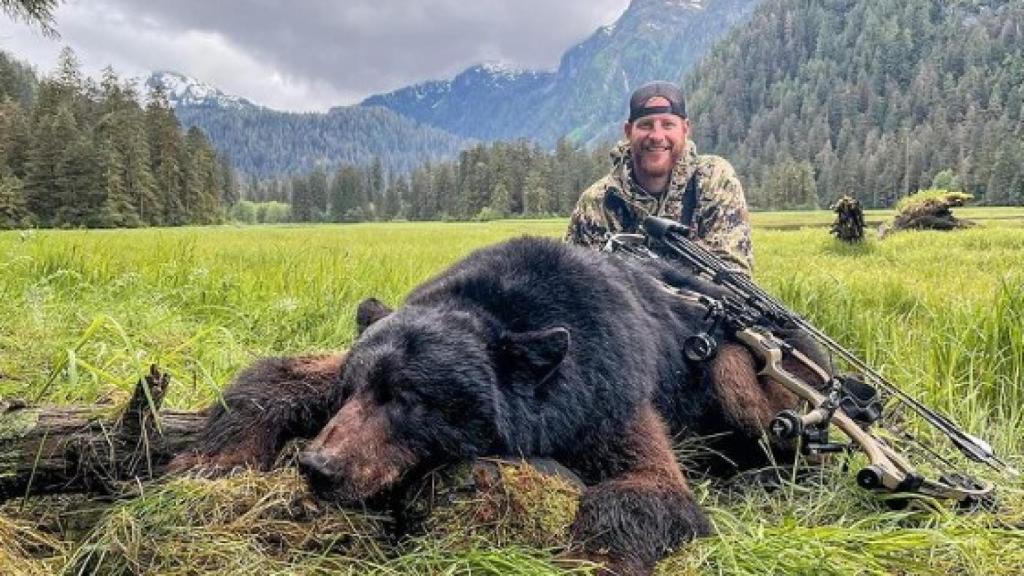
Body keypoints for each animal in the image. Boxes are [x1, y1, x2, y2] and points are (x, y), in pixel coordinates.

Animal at [169, 235, 823, 569]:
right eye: (358, 390)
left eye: (411, 399)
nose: (318, 467)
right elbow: (279, 375)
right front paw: (208, 462)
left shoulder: (607, 387)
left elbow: (649, 490)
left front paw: (588, 559)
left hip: (742, 366)